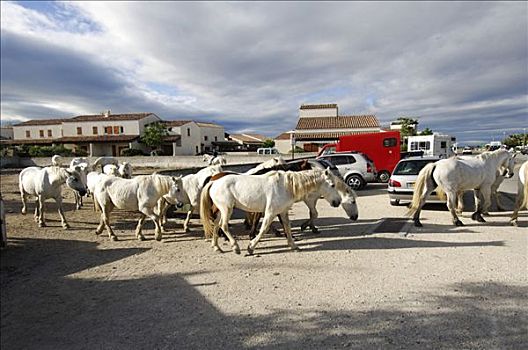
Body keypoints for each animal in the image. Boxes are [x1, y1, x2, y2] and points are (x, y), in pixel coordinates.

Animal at [199, 169, 342, 254]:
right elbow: (263, 229)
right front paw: (251, 247)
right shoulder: (270, 212)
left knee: (216, 224)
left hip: (221, 210)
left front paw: (293, 246)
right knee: (223, 225)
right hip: (227, 209)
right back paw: (235, 247)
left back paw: (217, 247)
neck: (286, 186)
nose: (338, 201)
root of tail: (213, 182)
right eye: (332, 185)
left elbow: (287, 228)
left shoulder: (282, 212)